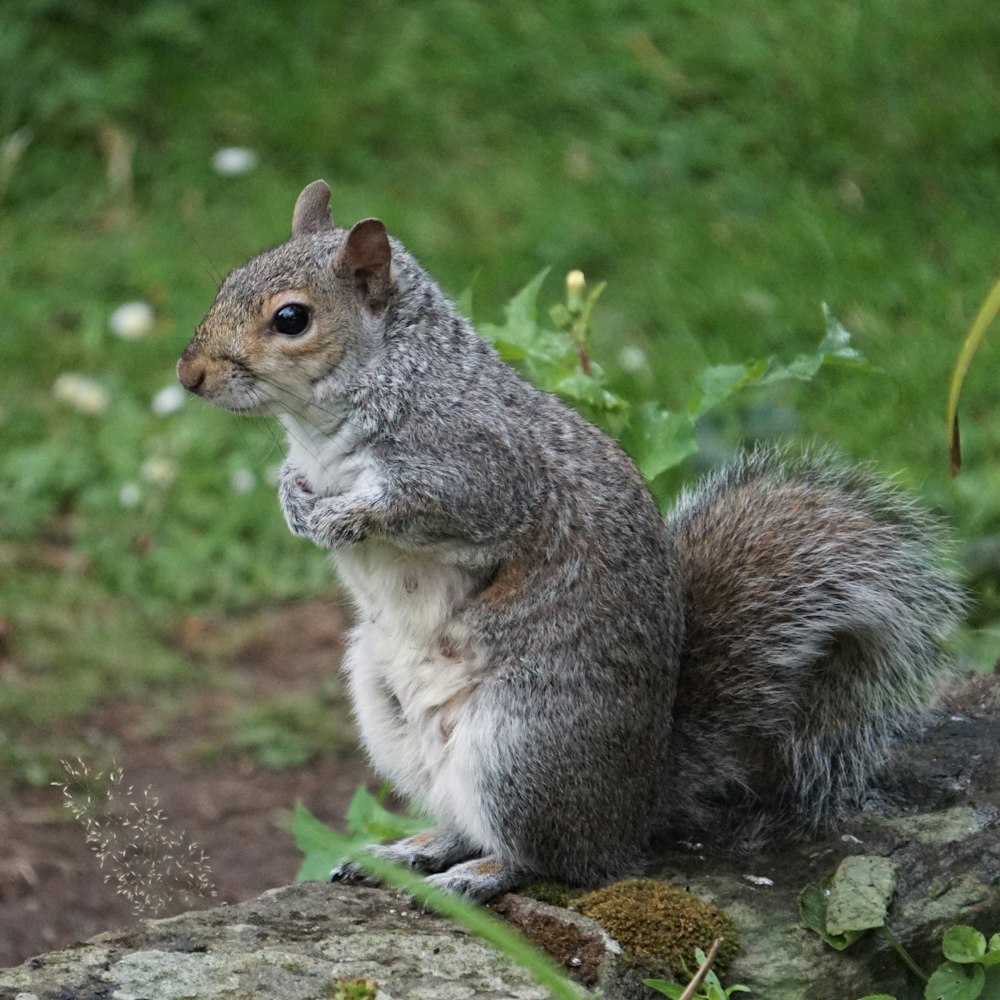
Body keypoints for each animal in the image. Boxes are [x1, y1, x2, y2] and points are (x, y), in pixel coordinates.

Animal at [176, 180, 964, 900]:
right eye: (225, 283)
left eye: (291, 318)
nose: (189, 374)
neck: (328, 423)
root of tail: (636, 805)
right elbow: (293, 482)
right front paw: (295, 504)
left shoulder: (483, 470)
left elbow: (422, 505)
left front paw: (345, 519)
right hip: (390, 715)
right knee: (468, 821)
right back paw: (415, 850)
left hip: (525, 745)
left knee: (551, 859)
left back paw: (475, 877)